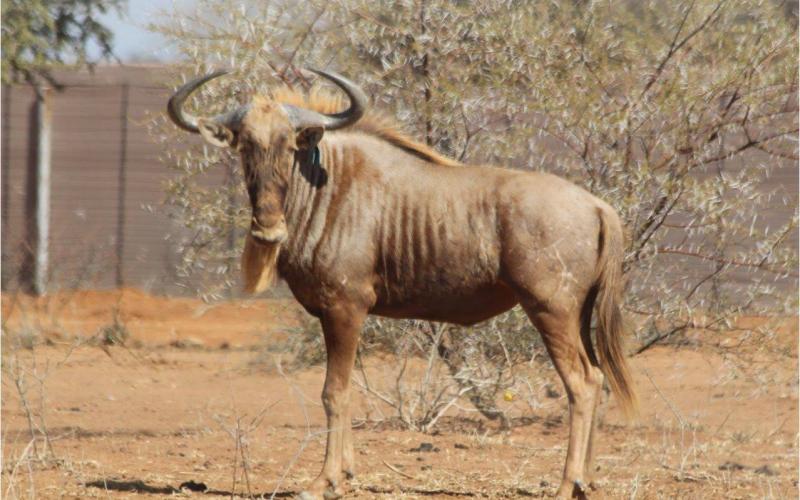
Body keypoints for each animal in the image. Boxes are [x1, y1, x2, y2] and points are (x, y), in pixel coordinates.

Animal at [167, 68, 637, 499]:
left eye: (288, 144)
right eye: (245, 144)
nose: (267, 230)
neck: (325, 183)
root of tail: (598, 206)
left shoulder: (345, 308)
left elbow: (333, 393)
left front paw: (324, 481)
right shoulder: (340, 316)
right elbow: (346, 390)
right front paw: (346, 473)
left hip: (550, 312)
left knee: (582, 384)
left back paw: (567, 484)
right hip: (578, 317)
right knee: (598, 376)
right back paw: (588, 482)